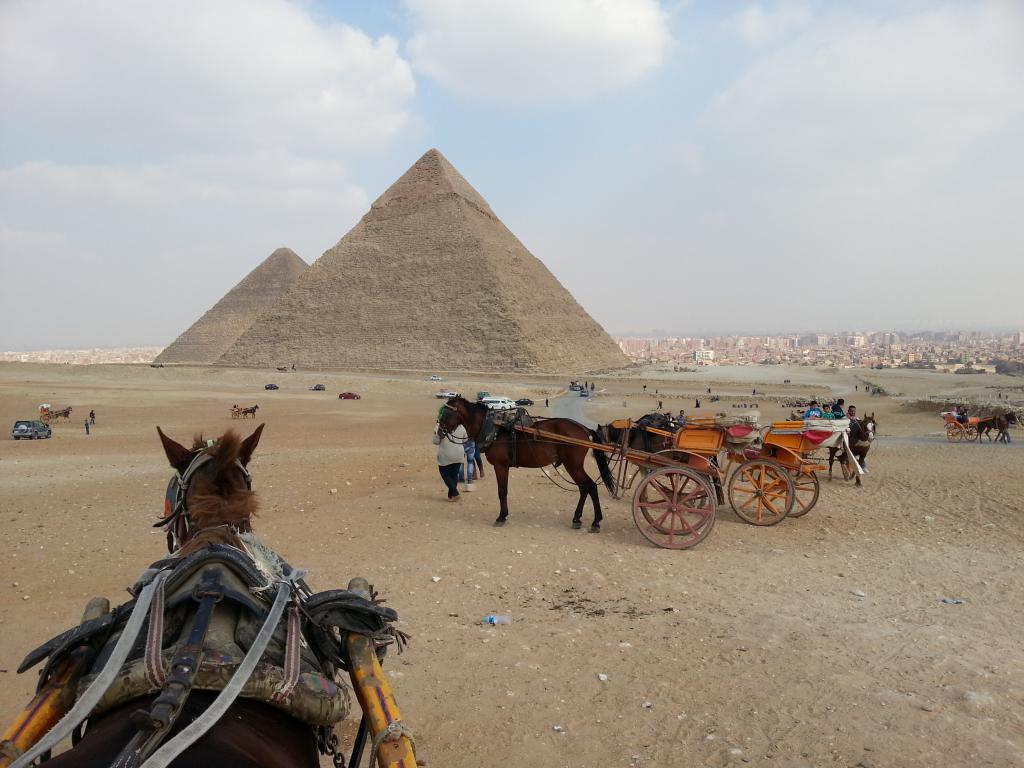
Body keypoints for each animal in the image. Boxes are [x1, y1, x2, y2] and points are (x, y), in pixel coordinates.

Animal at [442, 399, 614, 532]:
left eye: (445, 413)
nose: (440, 430)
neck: (494, 429)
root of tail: (584, 429)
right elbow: (503, 491)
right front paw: (504, 515)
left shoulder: (500, 466)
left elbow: (502, 492)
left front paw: (501, 517)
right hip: (572, 466)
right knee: (584, 488)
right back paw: (577, 519)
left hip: (573, 465)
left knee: (590, 487)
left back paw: (596, 522)